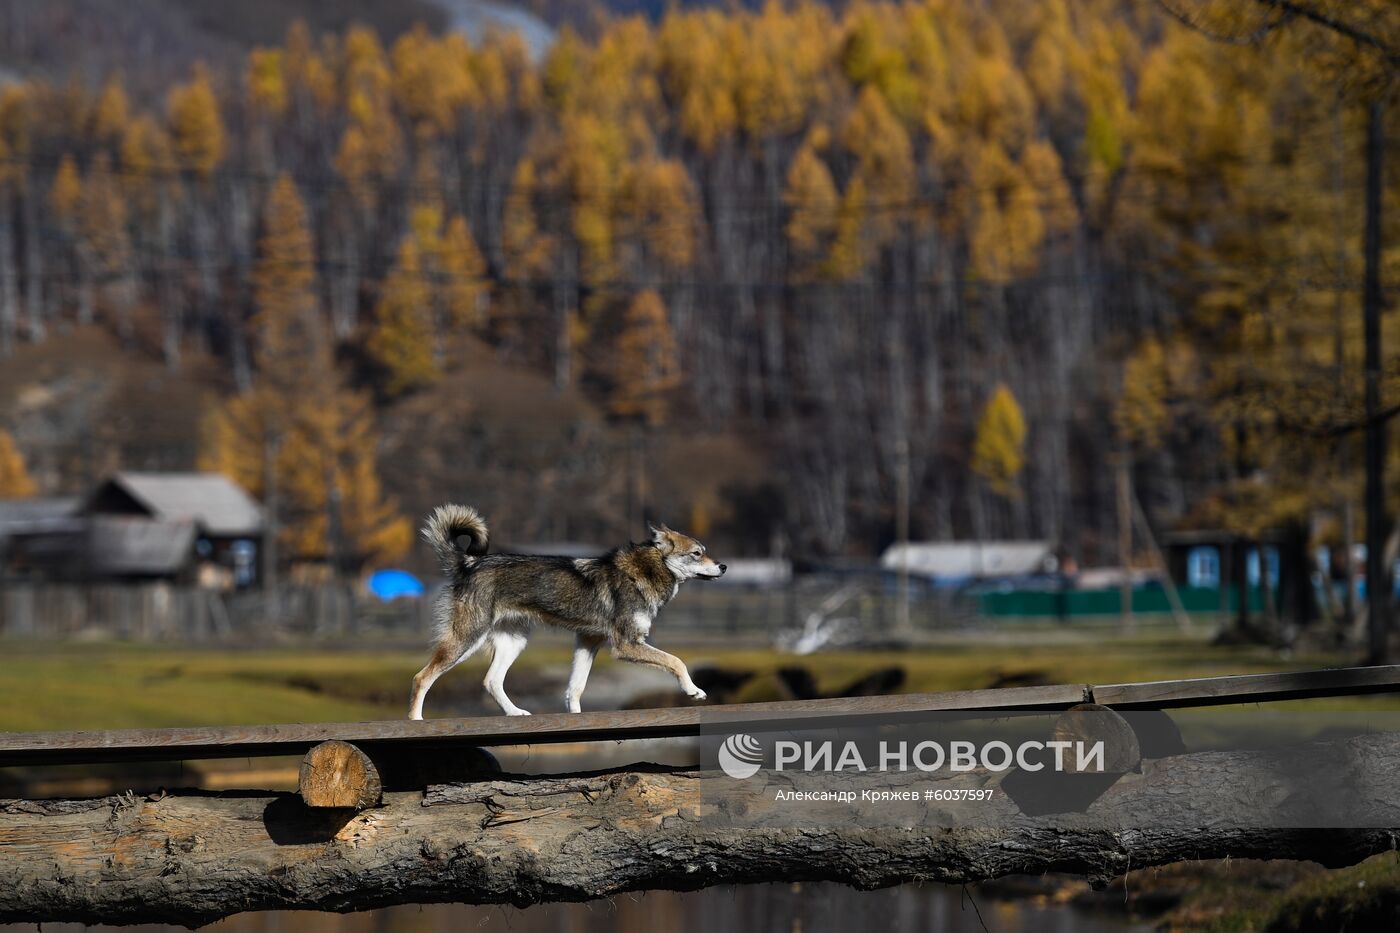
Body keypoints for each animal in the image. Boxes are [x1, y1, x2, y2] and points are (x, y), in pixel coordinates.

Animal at [408, 504, 728, 714]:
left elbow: (574, 689)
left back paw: (516, 713)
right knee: (421, 678)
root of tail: (469, 563)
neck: (644, 571)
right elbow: (676, 661)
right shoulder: (626, 644)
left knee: (491, 681)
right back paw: (417, 720)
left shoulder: (589, 641)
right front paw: (694, 690)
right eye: (697, 553)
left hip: (513, 642)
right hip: (465, 642)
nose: (724, 566)